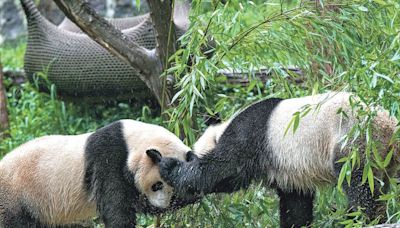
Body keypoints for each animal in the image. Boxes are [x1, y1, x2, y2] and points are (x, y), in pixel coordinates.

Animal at [0, 118, 194, 227]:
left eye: (174, 187)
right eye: (157, 185)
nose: (163, 205)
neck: (132, 141)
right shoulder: (109, 161)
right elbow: (116, 208)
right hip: (18, 196)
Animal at [159, 92, 400, 228]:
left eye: (191, 155)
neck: (222, 129)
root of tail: (388, 126)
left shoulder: (249, 134)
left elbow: (221, 172)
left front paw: (167, 165)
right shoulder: (290, 172)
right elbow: (295, 204)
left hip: (352, 141)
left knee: (359, 185)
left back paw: (355, 219)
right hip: (382, 159)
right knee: (378, 190)